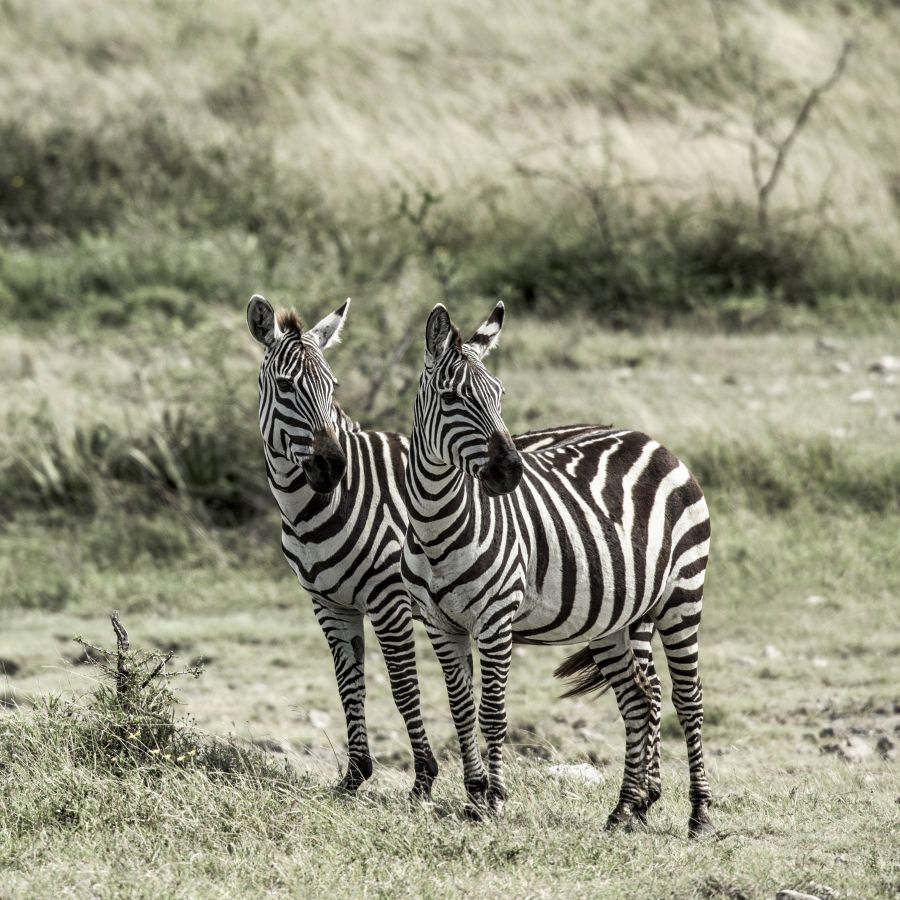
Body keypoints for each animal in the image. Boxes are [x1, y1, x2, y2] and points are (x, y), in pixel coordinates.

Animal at [248, 292, 438, 800]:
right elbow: (348, 684)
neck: (309, 512)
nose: (332, 466)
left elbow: (403, 686)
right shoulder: (329, 603)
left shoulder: (389, 599)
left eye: (332, 387)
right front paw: (355, 775)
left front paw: (424, 780)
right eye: (286, 386)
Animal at [404, 302, 712, 836]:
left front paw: (494, 800)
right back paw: (627, 808)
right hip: (618, 616)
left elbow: (492, 712)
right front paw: (473, 796)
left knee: (688, 700)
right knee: (640, 698)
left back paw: (700, 815)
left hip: (682, 596)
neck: (437, 521)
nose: (509, 472)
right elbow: (461, 710)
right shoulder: (440, 624)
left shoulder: (496, 620)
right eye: (451, 397)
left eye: (500, 394)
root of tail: (653, 441)